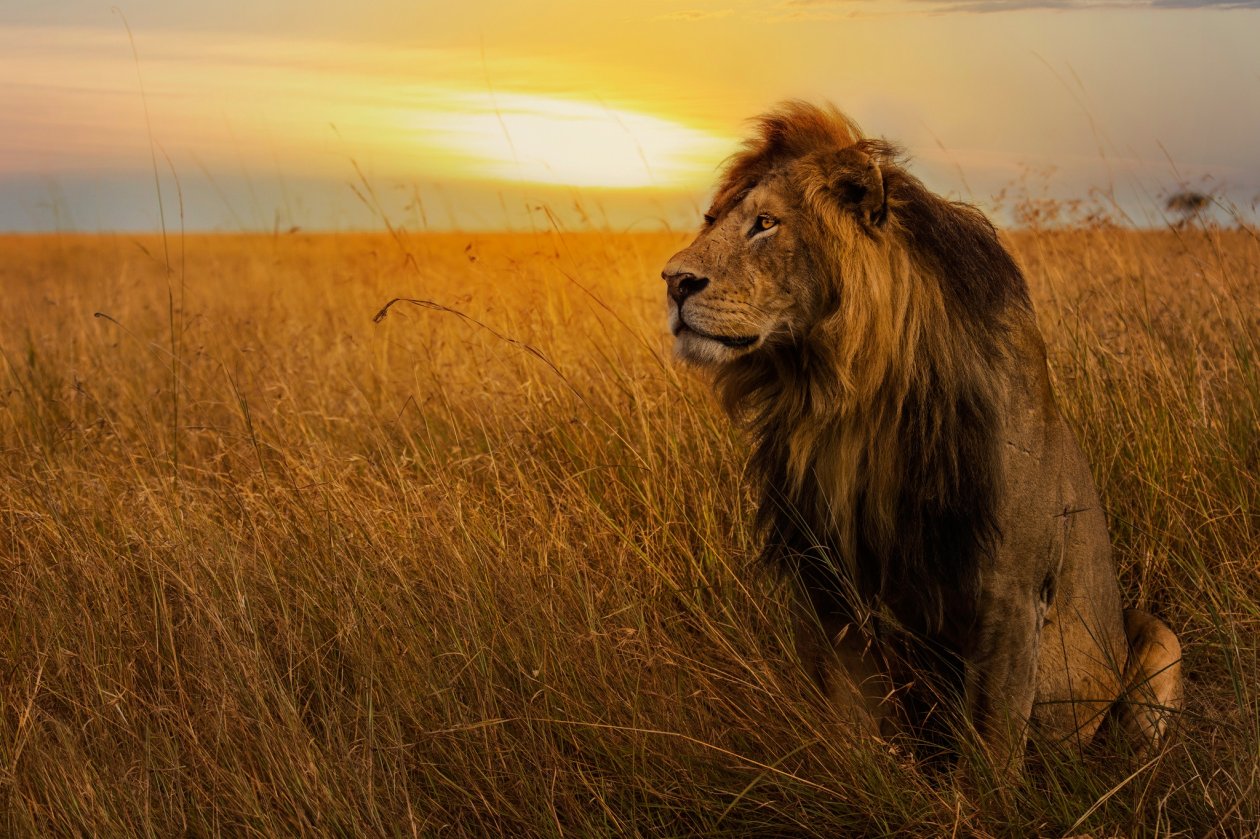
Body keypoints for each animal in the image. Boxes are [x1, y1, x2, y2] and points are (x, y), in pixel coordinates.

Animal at [661, 101, 1182, 774]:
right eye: (711, 221)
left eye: (766, 224)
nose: (673, 281)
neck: (845, 401)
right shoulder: (822, 581)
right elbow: (850, 724)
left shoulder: (1011, 593)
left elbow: (989, 755)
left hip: (1155, 638)